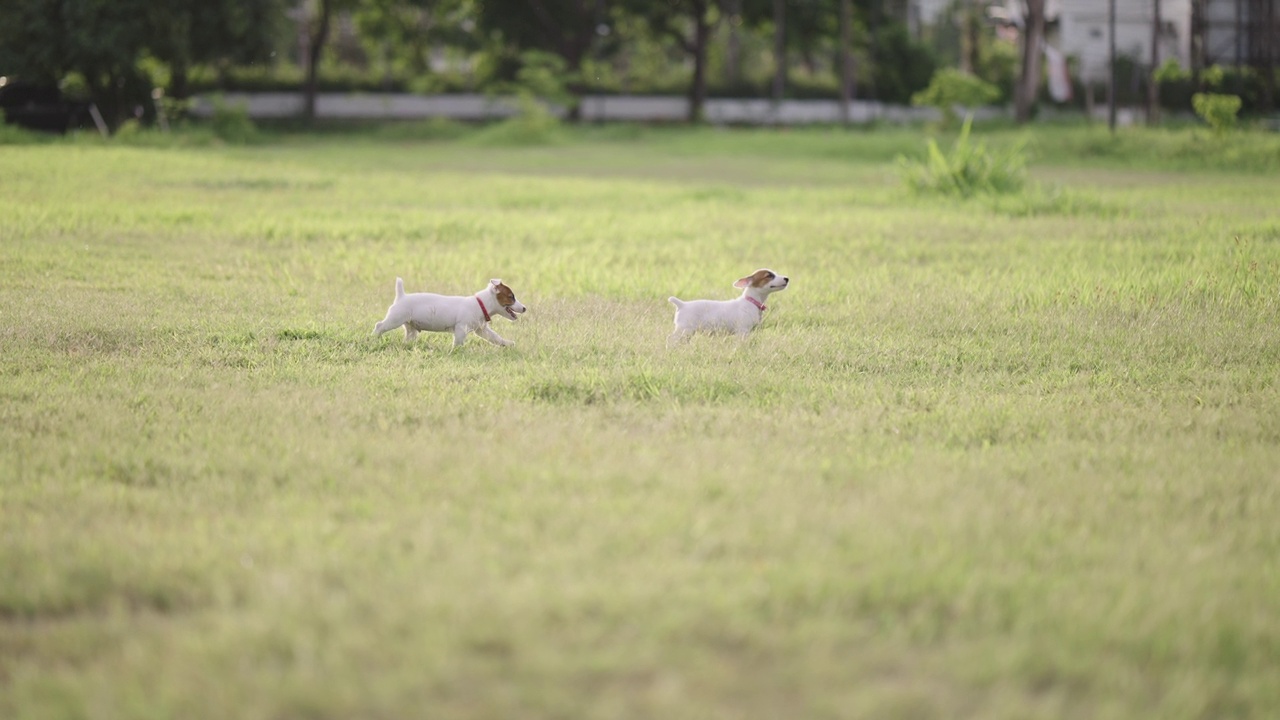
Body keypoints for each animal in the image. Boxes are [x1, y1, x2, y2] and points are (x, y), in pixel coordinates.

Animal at [373, 275, 527, 345]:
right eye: (511, 297)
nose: (525, 308)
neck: (480, 303)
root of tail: (401, 296)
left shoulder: (481, 330)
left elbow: (495, 337)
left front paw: (507, 343)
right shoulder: (461, 328)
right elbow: (458, 343)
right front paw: (456, 351)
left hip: (410, 328)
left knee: (408, 337)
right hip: (395, 319)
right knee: (379, 326)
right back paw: (373, 338)